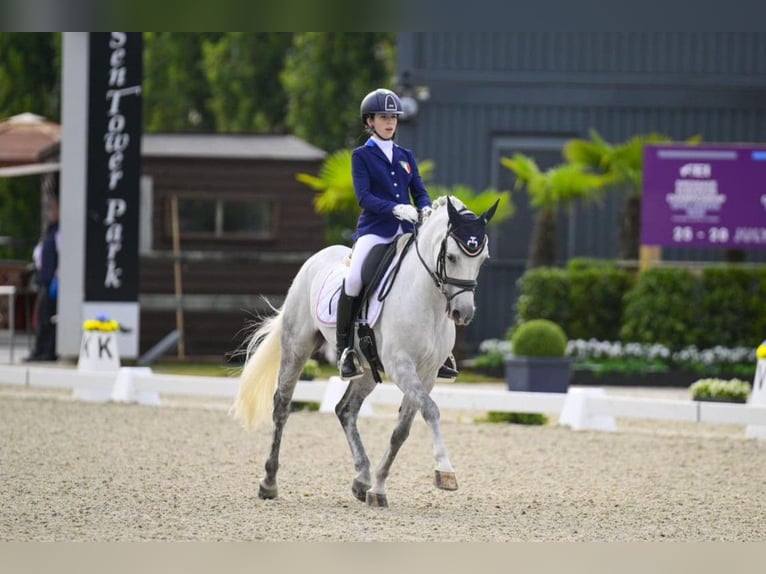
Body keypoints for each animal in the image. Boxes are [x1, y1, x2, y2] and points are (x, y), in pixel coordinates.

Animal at [231, 195, 499, 508]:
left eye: (482, 259)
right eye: (453, 257)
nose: (462, 313)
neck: (427, 299)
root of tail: (316, 259)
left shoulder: (428, 373)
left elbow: (401, 430)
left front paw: (378, 488)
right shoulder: (401, 366)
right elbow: (431, 410)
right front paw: (445, 472)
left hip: (368, 369)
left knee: (345, 409)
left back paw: (361, 479)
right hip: (297, 346)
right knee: (282, 406)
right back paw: (269, 482)